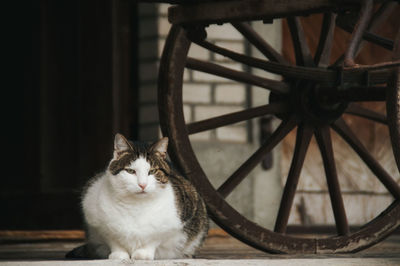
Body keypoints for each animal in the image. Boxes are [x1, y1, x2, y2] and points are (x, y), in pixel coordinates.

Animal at [65, 133, 209, 260]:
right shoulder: (97, 221)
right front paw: (118, 255)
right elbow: (113, 240)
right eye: (130, 171)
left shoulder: (170, 225)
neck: (136, 206)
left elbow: (153, 239)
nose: (142, 184)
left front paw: (142, 254)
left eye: (152, 171)